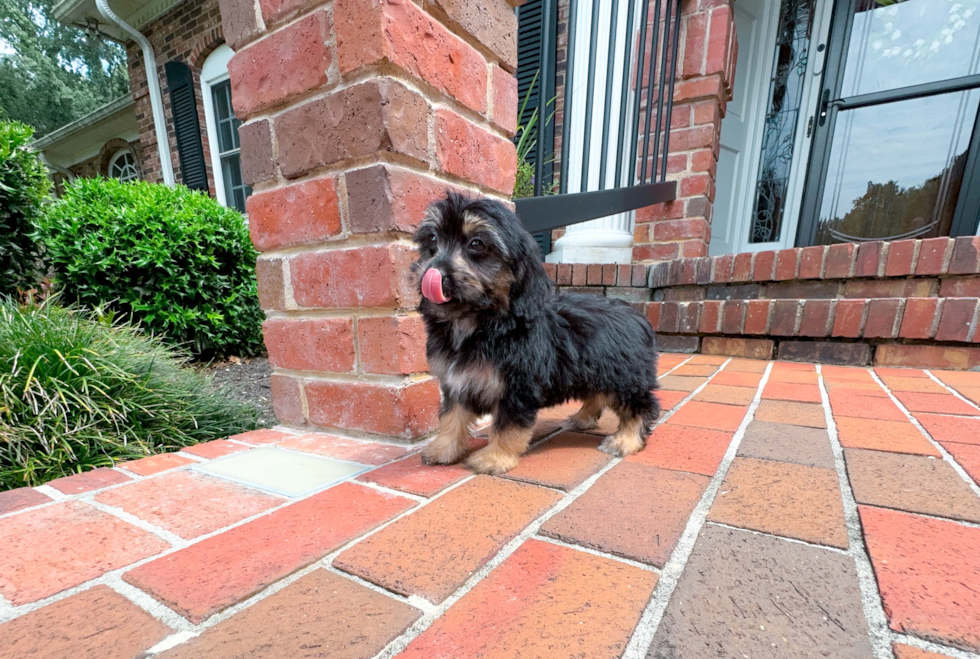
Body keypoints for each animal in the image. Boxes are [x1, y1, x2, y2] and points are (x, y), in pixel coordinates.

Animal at [410, 191, 664, 474]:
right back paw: (582, 418)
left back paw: (626, 439)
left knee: (642, 405)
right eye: (433, 239)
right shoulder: (457, 383)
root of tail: (637, 315)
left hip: (624, 376)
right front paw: (444, 449)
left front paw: (495, 457)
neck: (483, 324)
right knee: (596, 395)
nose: (434, 274)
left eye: (477, 244)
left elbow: (507, 425)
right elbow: (451, 417)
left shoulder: (517, 387)